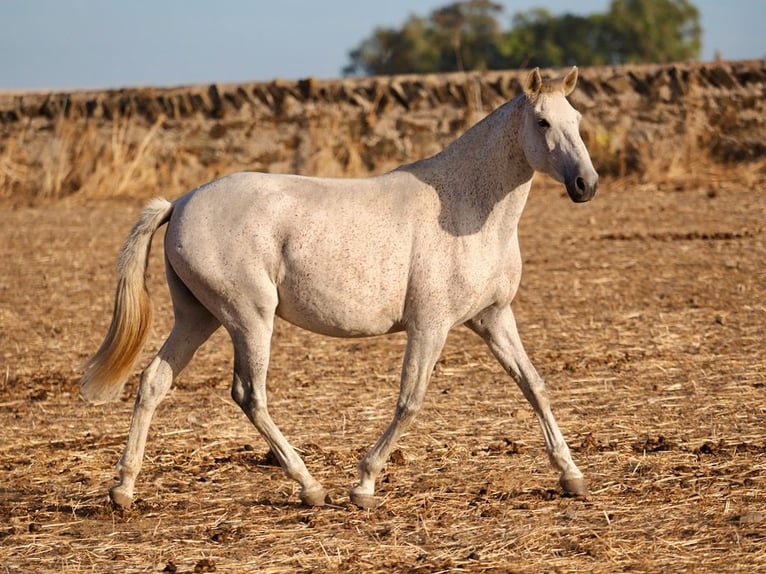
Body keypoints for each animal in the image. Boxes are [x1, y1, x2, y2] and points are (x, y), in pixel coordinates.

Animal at [80, 67, 599, 509]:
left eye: (577, 120)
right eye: (542, 121)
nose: (585, 185)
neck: (463, 207)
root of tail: (181, 202)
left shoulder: (492, 317)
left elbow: (534, 386)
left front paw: (571, 476)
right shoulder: (430, 326)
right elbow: (410, 401)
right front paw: (364, 484)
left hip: (198, 317)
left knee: (154, 381)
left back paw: (123, 489)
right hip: (249, 319)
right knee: (249, 394)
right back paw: (310, 487)